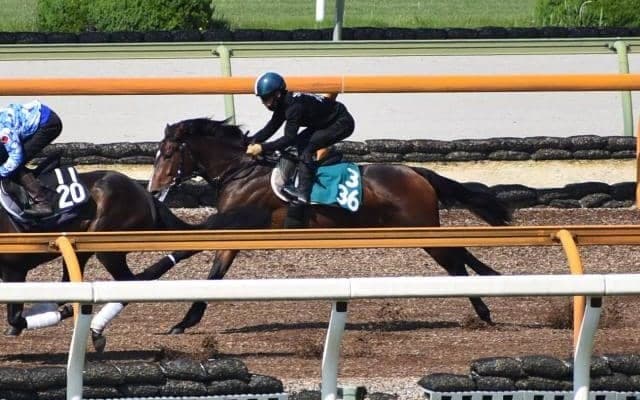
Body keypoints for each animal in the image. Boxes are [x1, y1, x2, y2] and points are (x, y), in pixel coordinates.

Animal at [0, 159, 271, 342]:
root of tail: (144, 193)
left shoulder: (14, 269)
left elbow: (14, 316)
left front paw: (21, 324)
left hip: (108, 246)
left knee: (128, 283)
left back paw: (94, 327)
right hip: (83, 250)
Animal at [146, 117, 513, 334]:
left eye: (168, 153)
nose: (151, 189)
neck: (241, 171)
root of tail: (416, 172)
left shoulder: (233, 223)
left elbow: (191, 250)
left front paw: (148, 278)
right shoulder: (235, 234)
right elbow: (214, 273)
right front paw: (184, 320)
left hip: (422, 230)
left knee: (456, 263)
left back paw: (486, 306)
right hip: (423, 230)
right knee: (461, 256)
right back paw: (491, 289)